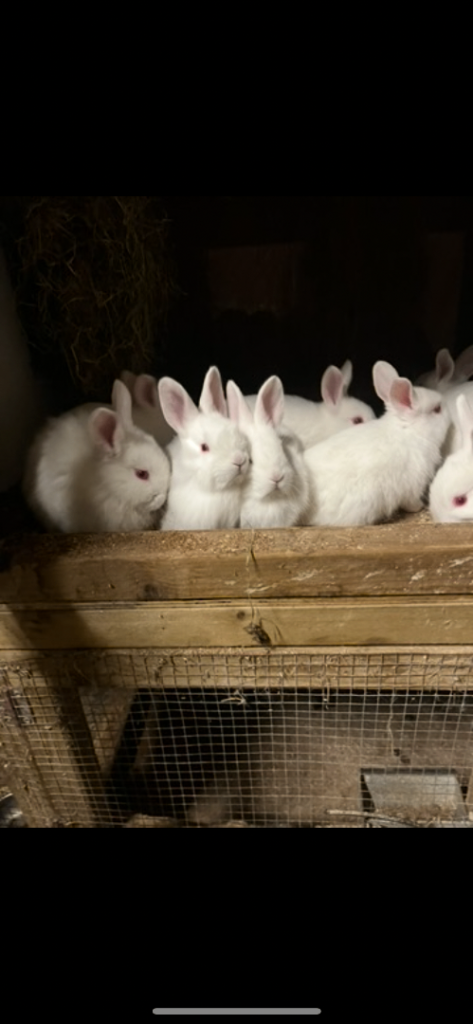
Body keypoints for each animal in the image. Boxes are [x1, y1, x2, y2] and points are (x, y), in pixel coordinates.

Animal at [302, 361, 451, 528]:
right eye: (437, 409)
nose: (449, 413)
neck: (409, 431)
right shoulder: (413, 484)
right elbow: (411, 502)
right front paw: (419, 507)